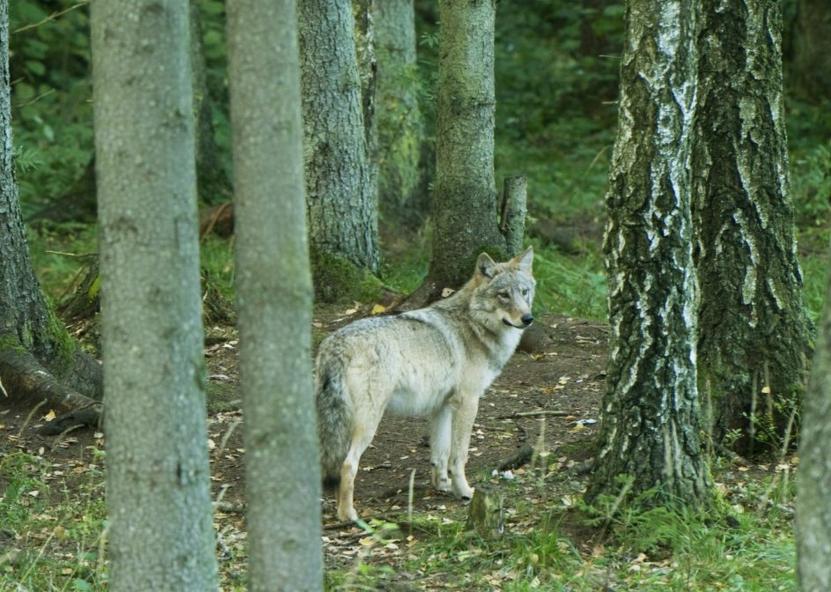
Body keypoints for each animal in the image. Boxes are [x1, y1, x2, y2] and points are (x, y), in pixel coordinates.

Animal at [316, 247, 536, 520]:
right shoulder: (468, 402)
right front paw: (465, 492)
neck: (474, 325)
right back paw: (348, 515)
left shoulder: (441, 407)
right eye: (504, 295)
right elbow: (459, 455)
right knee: (348, 464)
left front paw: (443, 486)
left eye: (524, 292)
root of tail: (336, 343)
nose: (528, 318)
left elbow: (440, 454)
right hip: (368, 422)